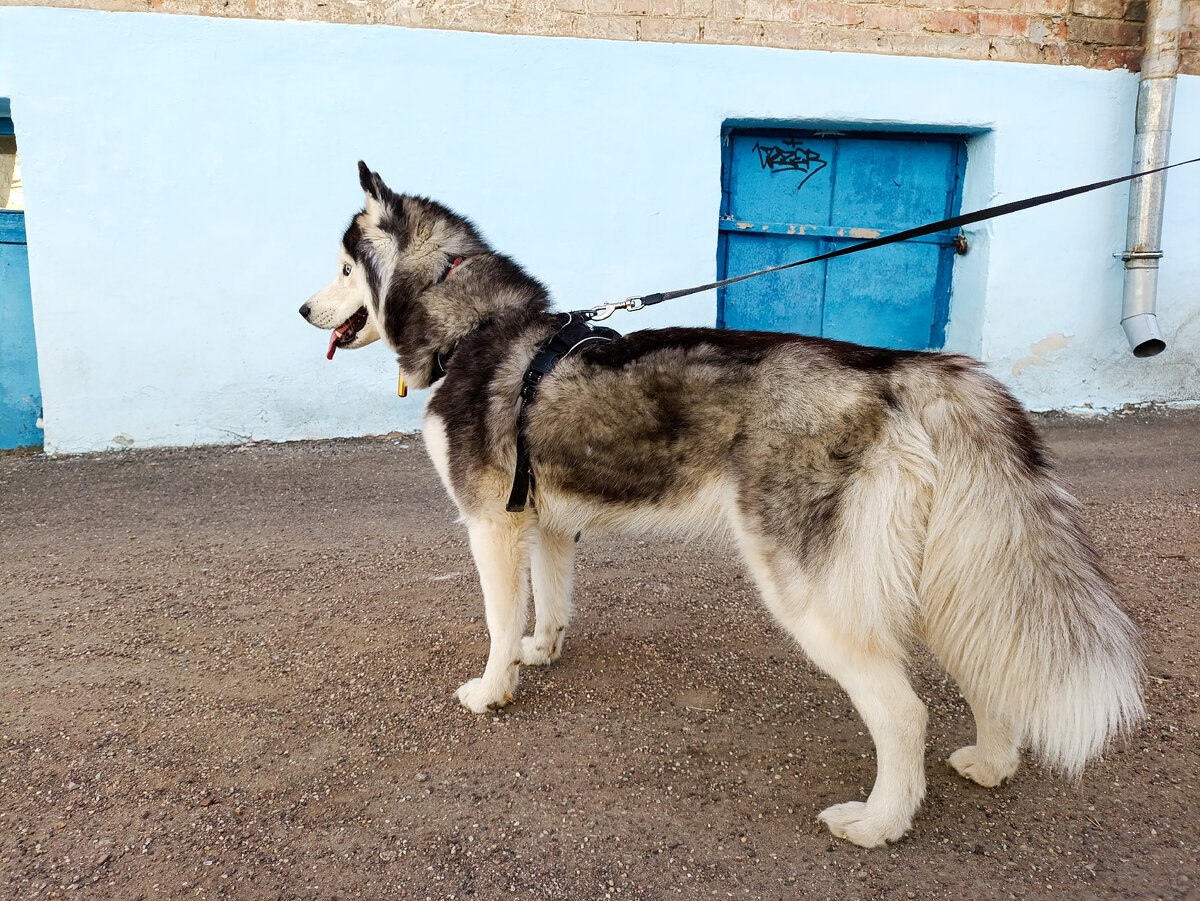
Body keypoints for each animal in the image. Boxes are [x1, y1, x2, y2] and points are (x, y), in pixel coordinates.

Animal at [300, 164, 1142, 854]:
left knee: (903, 713)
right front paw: (541, 652)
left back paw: (880, 822)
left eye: (342, 267)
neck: (477, 326)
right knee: (982, 661)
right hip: (927, 573)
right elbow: (552, 602)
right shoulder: (546, 523)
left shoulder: (490, 524)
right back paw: (992, 762)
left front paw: (492, 688)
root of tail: (901, 367)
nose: (304, 309)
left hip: (812, 592)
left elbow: (499, 621)